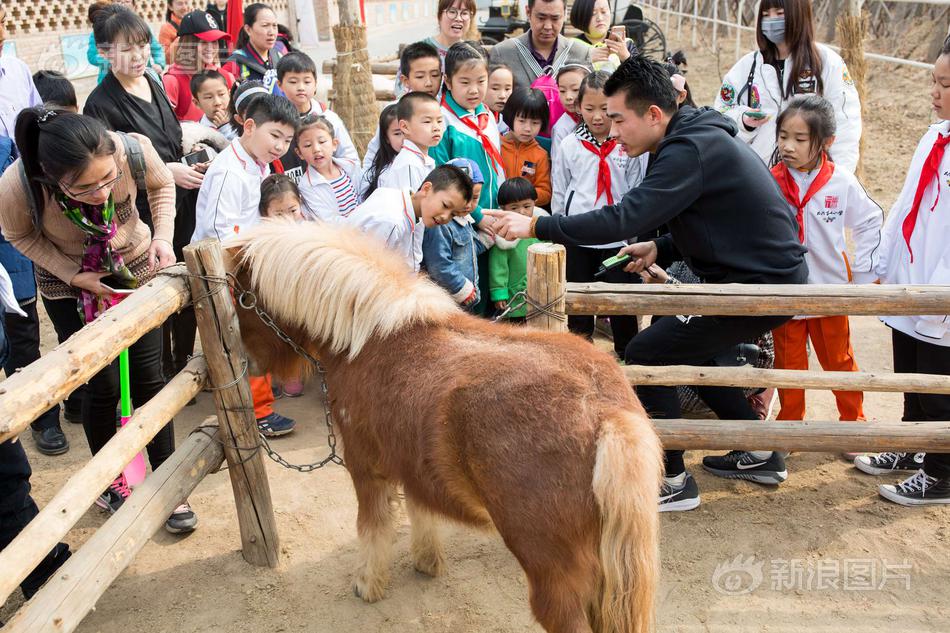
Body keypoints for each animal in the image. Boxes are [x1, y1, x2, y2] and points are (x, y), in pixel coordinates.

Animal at [227, 218, 664, 632]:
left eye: (240, 297)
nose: (250, 363)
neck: (368, 338)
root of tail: (606, 413)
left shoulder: (365, 467)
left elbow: (373, 527)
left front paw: (368, 583)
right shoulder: (413, 466)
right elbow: (421, 511)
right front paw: (426, 561)